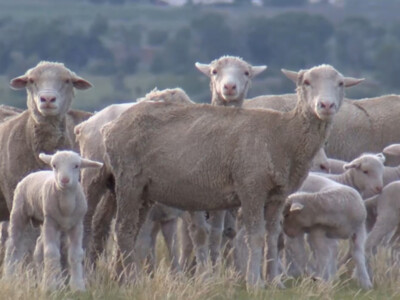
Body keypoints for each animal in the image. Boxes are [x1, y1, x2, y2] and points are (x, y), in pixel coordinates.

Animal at [3, 150, 102, 290]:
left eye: (76, 166)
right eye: (54, 165)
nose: (64, 180)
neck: (67, 207)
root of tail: (34, 173)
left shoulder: (77, 225)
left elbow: (76, 253)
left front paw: (78, 286)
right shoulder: (51, 223)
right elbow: (51, 253)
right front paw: (50, 286)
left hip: (47, 223)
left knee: (39, 247)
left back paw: (43, 279)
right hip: (19, 211)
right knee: (13, 244)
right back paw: (9, 277)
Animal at [101, 63, 362, 288]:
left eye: (340, 83)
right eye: (307, 82)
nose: (325, 106)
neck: (284, 135)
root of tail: (113, 126)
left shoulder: (278, 195)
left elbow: (273, 237)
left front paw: (274, 281)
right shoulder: (251, 187)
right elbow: (255, 236)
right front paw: (255, 282)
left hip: (145, 189)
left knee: (132, 231)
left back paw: (124, 277)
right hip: (128, 180)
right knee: (123, 229)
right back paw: (125, 282)